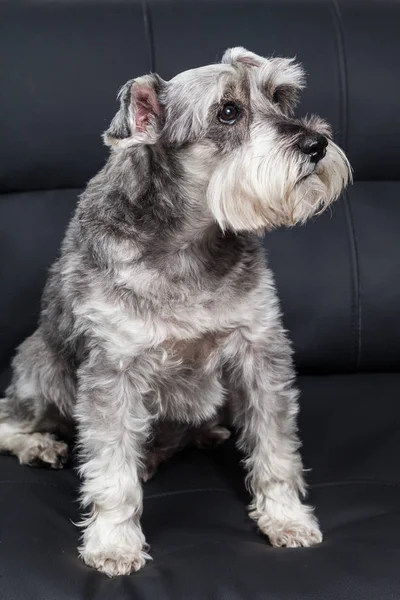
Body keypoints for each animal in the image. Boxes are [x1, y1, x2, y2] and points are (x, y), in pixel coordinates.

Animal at [0, 48, 350, 576]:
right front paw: (113, 543)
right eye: (227, 112)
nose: (317, 143)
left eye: (280, 96)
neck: (191, 241)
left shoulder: (259, 353)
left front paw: (286, 518)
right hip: (43, 373)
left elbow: (275, 449)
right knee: (9, 419)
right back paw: (41, 445)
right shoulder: (114, 371)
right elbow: (111, 472)